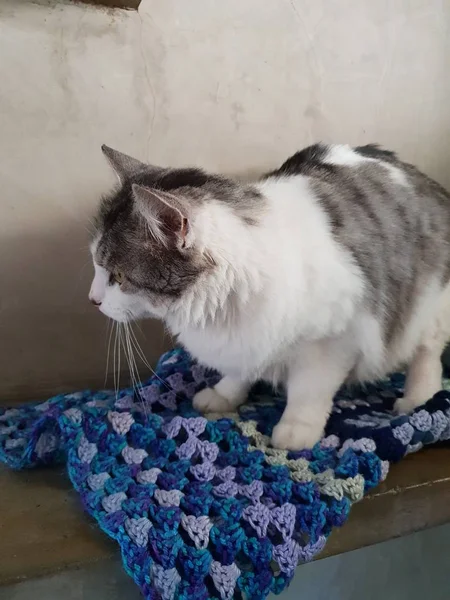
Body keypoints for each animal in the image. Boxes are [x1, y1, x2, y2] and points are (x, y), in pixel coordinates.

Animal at [89, 142, 450, 450]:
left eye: (118, 277)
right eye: (95, 262)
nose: (93, 300)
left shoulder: (333, 344)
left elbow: (308, 392)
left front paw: (296, 430)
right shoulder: (244, 341)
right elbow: (238, 373)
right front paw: (224, 396)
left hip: (428, 310)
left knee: (427, 357)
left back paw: (416, 399)